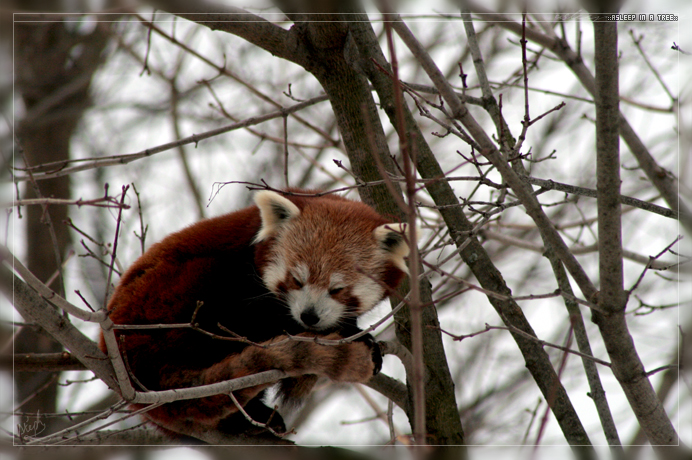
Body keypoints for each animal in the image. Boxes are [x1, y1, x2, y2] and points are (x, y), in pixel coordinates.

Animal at [100, 188, 414, 438]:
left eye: (337, 289)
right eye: (296, 280)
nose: (309, 316)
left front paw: (355, 331)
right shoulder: (247, 276)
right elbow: (265, 316)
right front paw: (349, 335)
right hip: (166, 300)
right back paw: (249, 414)